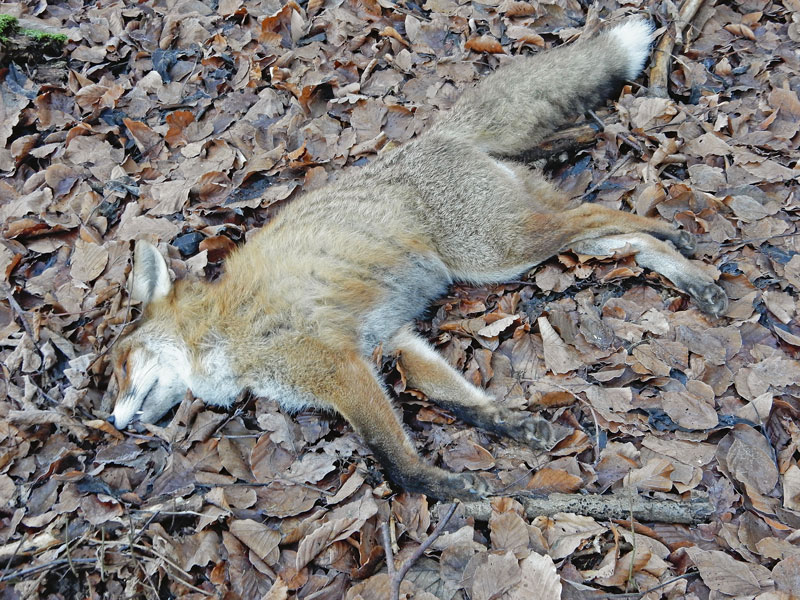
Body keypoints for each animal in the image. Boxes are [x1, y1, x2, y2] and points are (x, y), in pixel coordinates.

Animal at [109, 17, 728, 502]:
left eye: (119, 369)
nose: (113, 423)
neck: (223, 331)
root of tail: (432, 137)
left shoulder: (339, 367)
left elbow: (392, 460)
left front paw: (446, 486)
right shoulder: (390, 340)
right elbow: (460, 400)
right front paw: (515, 425)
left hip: (498, 249)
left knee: (606, 216)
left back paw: (674, 232)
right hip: (523, 239)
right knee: (615, 234)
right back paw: (693, 277)